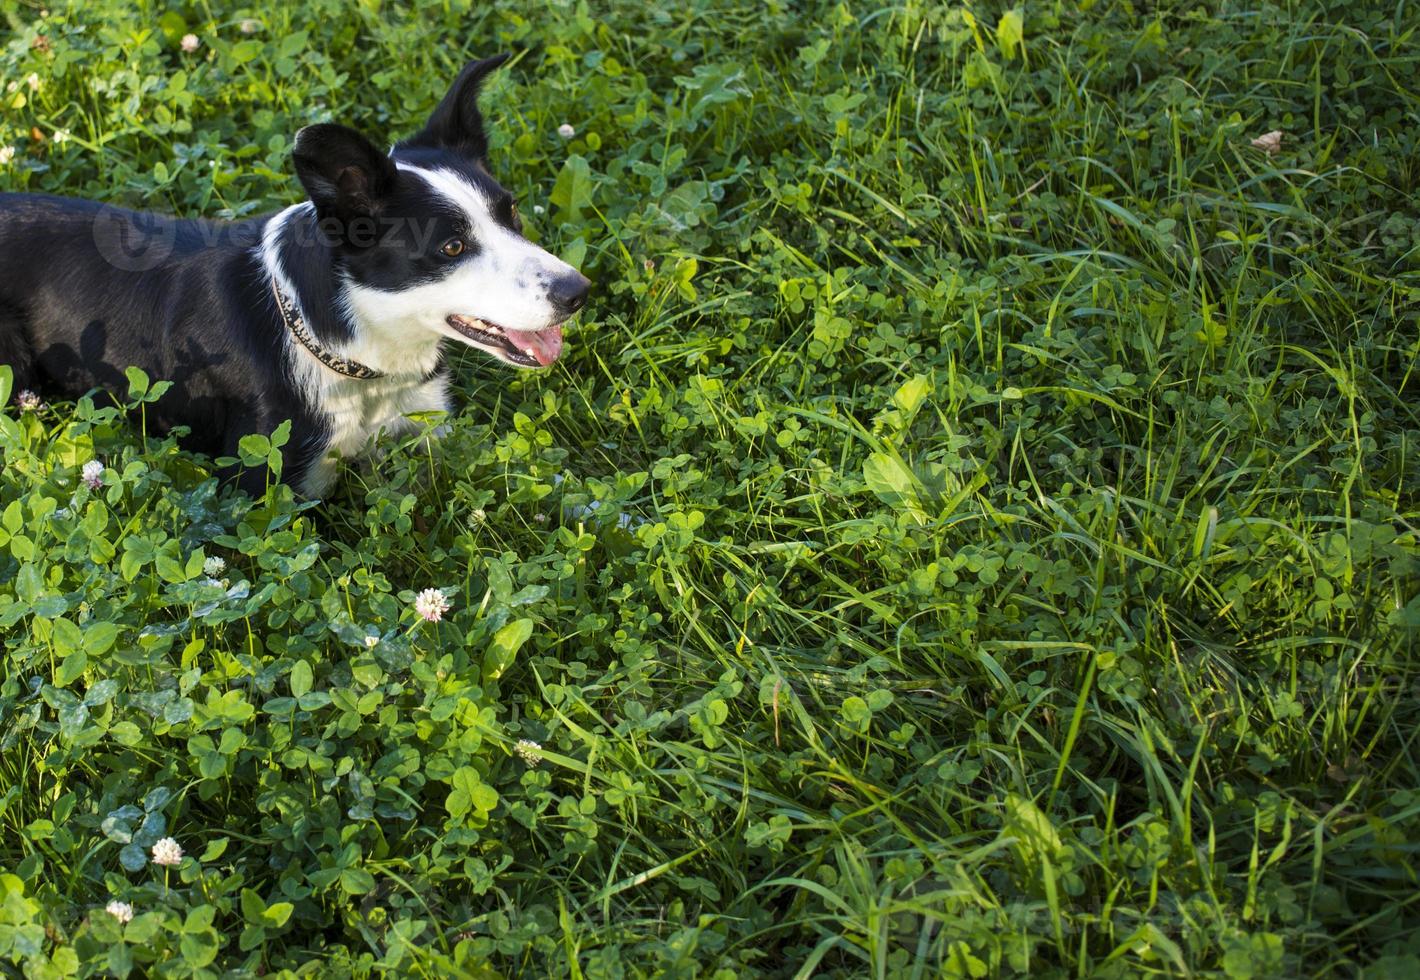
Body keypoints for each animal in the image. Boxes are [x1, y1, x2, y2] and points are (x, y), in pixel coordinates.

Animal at [0, 52, 587, 491]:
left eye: (511, 213)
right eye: (452, 246)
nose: (578, 291)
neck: (357, 353)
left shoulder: (428, 429)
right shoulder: (275, 481)